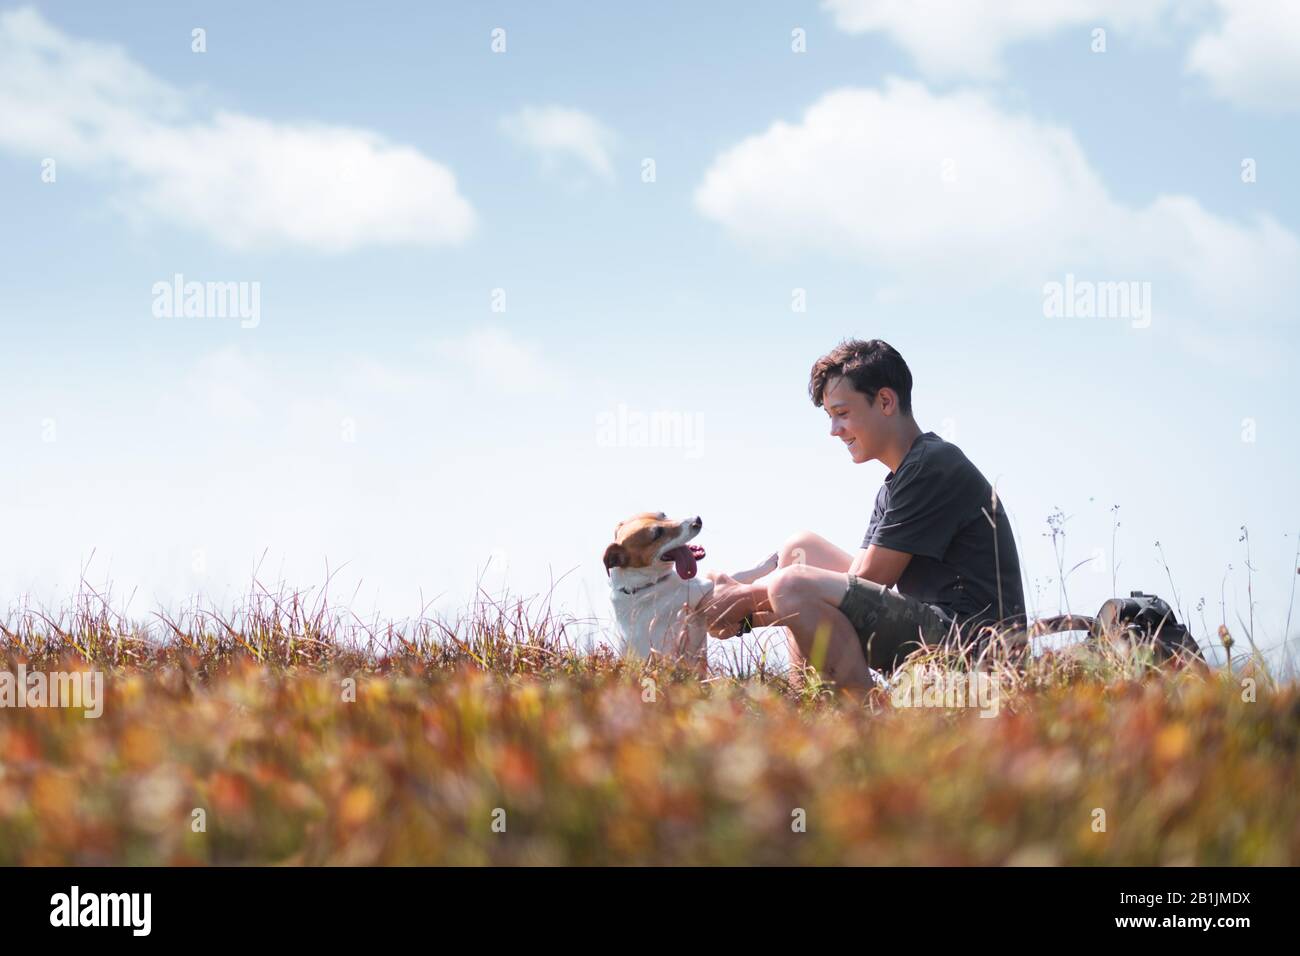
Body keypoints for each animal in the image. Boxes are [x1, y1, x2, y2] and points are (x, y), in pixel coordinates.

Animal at [603, 512, 774, 660]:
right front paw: (767, 564)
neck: (641, 586)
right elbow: (737, 576)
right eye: (657, 533)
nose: (697, 520)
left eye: (663, 514)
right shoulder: (703, 590)